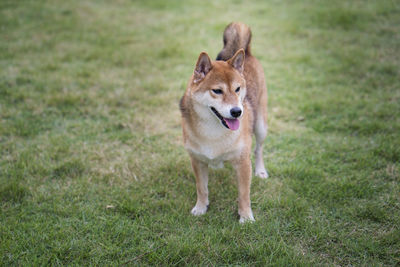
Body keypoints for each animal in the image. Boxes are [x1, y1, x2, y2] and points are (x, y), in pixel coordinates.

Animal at [179, 22, 268, 224]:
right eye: (217, 91)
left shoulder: (243, 163)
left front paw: (246, 217)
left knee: (258, 149)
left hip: (261, 126)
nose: (237, 112)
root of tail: (246, 53)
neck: (214, 132)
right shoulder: (197, 160)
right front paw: (201, 208)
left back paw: (260, 171)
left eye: (237, 89)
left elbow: (244, 194)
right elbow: (201, 188)